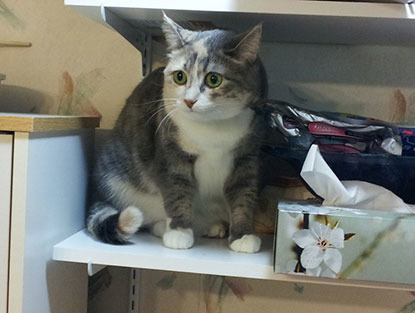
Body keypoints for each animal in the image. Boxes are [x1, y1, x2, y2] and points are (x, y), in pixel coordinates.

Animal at [88, 14, 270, 252]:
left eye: (214, 79)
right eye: (180, 77)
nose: (189, 101)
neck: (213, 128)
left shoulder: (247, 156)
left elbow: (243, 195)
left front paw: (243, 236)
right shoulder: (170, 153)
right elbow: (177, 191)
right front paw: (179, 233)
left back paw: (213, 227)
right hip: (116, 179)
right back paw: (164, 227)